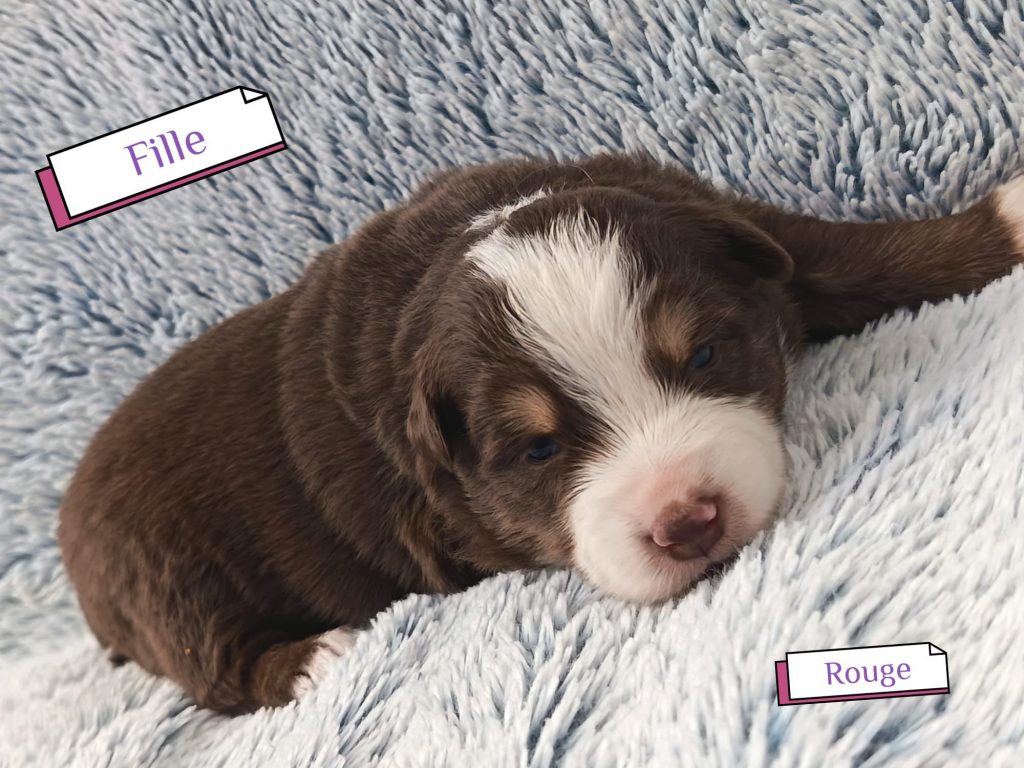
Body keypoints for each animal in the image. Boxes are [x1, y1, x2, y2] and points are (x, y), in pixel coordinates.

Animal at [58, 153, 1024, 713]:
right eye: (538, 450)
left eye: (706, 354)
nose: (688, 521)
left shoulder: (731, 223)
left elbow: (844, 255)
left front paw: (1006, 221)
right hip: (167, 579)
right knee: (213, 668)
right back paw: (312, 660)